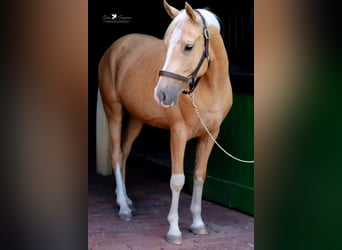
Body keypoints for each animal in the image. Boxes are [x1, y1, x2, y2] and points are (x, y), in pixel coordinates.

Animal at [96, 0, 232, 244]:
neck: (209, 88)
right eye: (166, 44)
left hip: (136, 119)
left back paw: (126, 199)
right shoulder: (178, 134)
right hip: (114, 111)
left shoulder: (210, 136)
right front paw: (174, 231)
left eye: (188, 46)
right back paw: (123, 208)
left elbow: (199, 176)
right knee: (116, 154)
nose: (161, 94)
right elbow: (177, 180)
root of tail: (115, 47)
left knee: (124, 152)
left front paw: (198, 224)